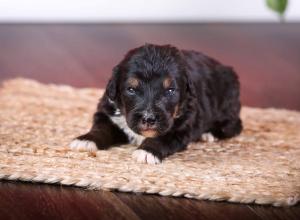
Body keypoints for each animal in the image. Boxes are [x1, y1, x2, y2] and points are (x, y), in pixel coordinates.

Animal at [71, 43, 244, 163]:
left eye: (170, 90)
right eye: (131, 89)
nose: (148, 119)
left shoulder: (182, 125)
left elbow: (163, 137)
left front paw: (147, 152)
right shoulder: (108, 111)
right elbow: (101, 128)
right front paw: (86, 140)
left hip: (228, 104)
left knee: (234, 125)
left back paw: (209, 133)